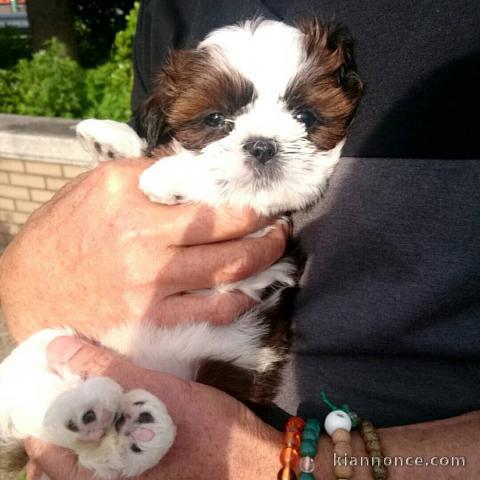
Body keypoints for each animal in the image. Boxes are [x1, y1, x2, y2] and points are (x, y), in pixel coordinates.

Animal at [0, 18, 360, 480]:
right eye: (216, 119)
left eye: (304, 116)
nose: (262, 145)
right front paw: (112, 141)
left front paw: (172, 173)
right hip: (44, 348)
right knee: (35, 404)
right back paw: (84, 412)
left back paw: (125, 430)